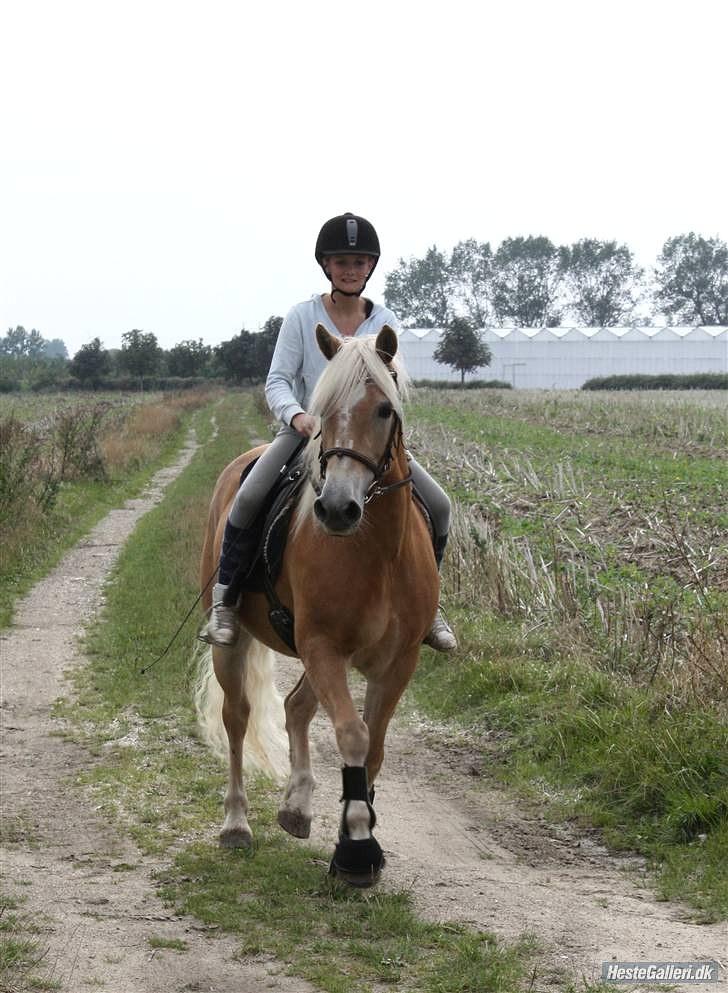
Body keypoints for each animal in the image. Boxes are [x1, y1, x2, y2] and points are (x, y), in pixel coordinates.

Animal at [196, 324, 438, 884]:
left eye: (384, 409)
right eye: (321, 411)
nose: (336, 509)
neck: (377, 551)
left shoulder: (396, 662)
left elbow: (374, 746)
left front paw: (357, 834)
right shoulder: (324, 646)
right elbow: (352, 735)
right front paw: (356, 848)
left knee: (295, 706)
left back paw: (297, 806)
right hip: (236, 646)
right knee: (237, 718)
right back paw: (236, 824)